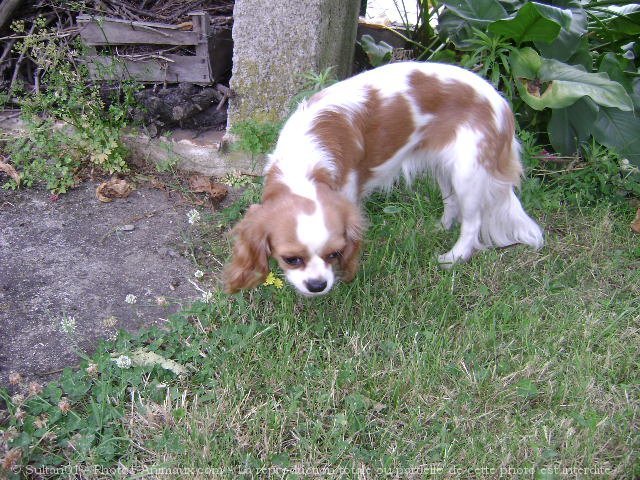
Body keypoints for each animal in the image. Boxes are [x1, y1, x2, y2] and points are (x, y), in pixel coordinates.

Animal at [222, 62, 544, 294]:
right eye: (292, 259)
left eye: (334, 254)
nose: (318, 285)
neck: (306, 163)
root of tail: (503, 105)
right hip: (444, 166)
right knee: (451, 201)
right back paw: (441, 226)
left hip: (469, 171)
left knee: (472, 223)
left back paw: (453, 257)